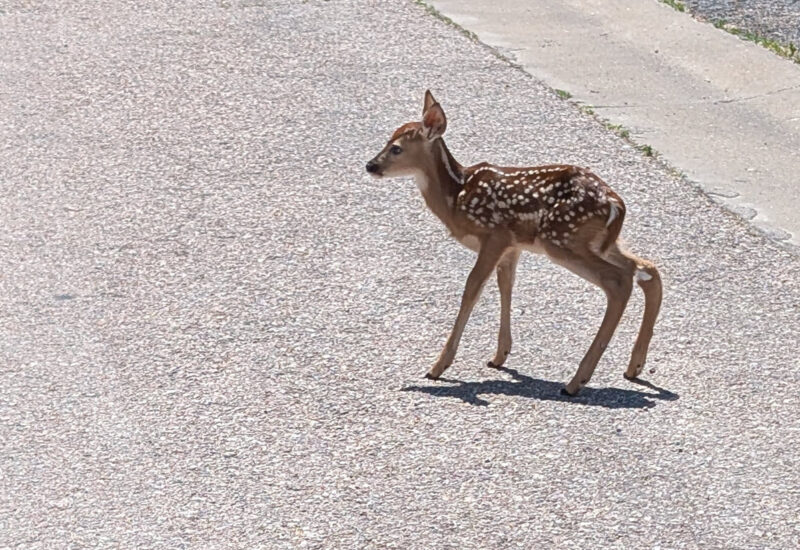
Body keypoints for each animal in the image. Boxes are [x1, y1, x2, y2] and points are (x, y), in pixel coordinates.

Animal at [365, 90, 662, 396]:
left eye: (396, 148)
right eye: (388, 140)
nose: (370, 165)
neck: (456, 197)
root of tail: (616, 205)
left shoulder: (494, 235)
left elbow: (472, 289)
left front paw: (438, 367)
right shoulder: (513, 246)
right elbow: (505, 286)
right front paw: (500, 355)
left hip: (561, 239)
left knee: (619, 280)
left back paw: (576, 381)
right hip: (598, 242)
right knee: (646, 269)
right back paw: (634, 367)